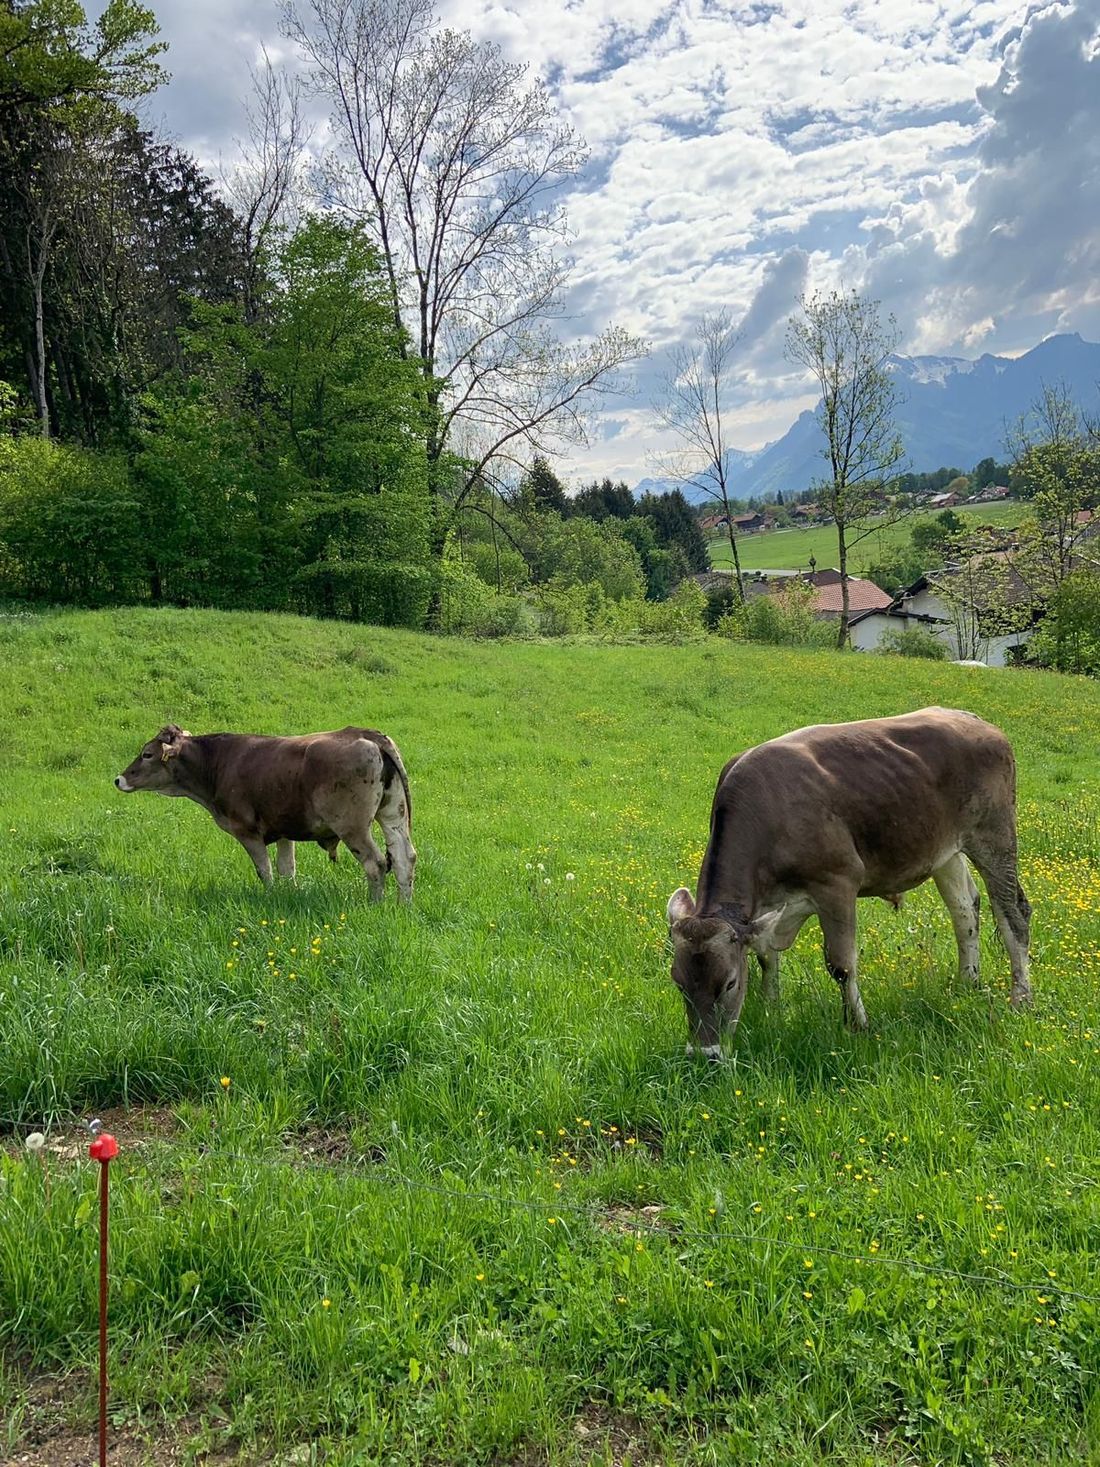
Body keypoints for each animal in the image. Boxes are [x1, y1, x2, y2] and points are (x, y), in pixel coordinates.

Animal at [115, 724, 415, 899]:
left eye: (147, 754)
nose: (119, 779)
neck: (218, 762)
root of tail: (364, 733)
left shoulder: (247, 831)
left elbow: (265, 870)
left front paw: (270, 896)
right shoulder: (283, 830)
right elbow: (286, 869)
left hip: (352, 826)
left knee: (376, 863)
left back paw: (375, 904)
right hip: (393, 814)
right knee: (405, 858)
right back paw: (404, 905)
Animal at [666, 708, 1030, 1059]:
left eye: (729, 984)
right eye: (678, 982)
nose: (705, 1054)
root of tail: (973, 719)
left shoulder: (838, 884)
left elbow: (841, 965)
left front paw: (857, 1025)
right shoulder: (767, 907)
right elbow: (766, 957)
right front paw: (772, 1011)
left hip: (994, 836)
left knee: (1014, 916)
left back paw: (1021, 998)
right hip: (944, 852)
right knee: (964, 910)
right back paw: (967, 982)